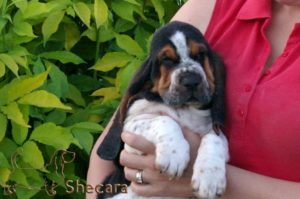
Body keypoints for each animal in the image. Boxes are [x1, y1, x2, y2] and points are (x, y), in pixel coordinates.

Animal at [97, 20, 229, 199]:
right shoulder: (130, 135)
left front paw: (209, 177)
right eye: (166, 60)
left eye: (200, 55)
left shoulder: (212, 128)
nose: (191, 80)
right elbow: (164, 119)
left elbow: (214, 138)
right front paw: (174, 154)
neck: (184, 108)